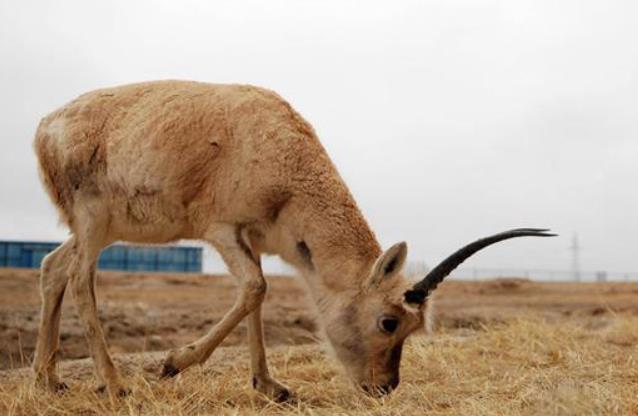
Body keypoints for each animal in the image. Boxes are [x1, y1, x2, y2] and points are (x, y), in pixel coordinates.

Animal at [32, 80, 556, 400]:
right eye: (389, 322)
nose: (384, 387)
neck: (280, 151)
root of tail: (45, 126)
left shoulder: (254, 240)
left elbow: (259, 297)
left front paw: (270, 386)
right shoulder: (222, 229)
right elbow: (256, 289)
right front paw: (173, 363)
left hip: (99, 229)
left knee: (53, 266)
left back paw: (49, 379)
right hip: (93, 219)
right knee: (79, 279)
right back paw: (114, 383)